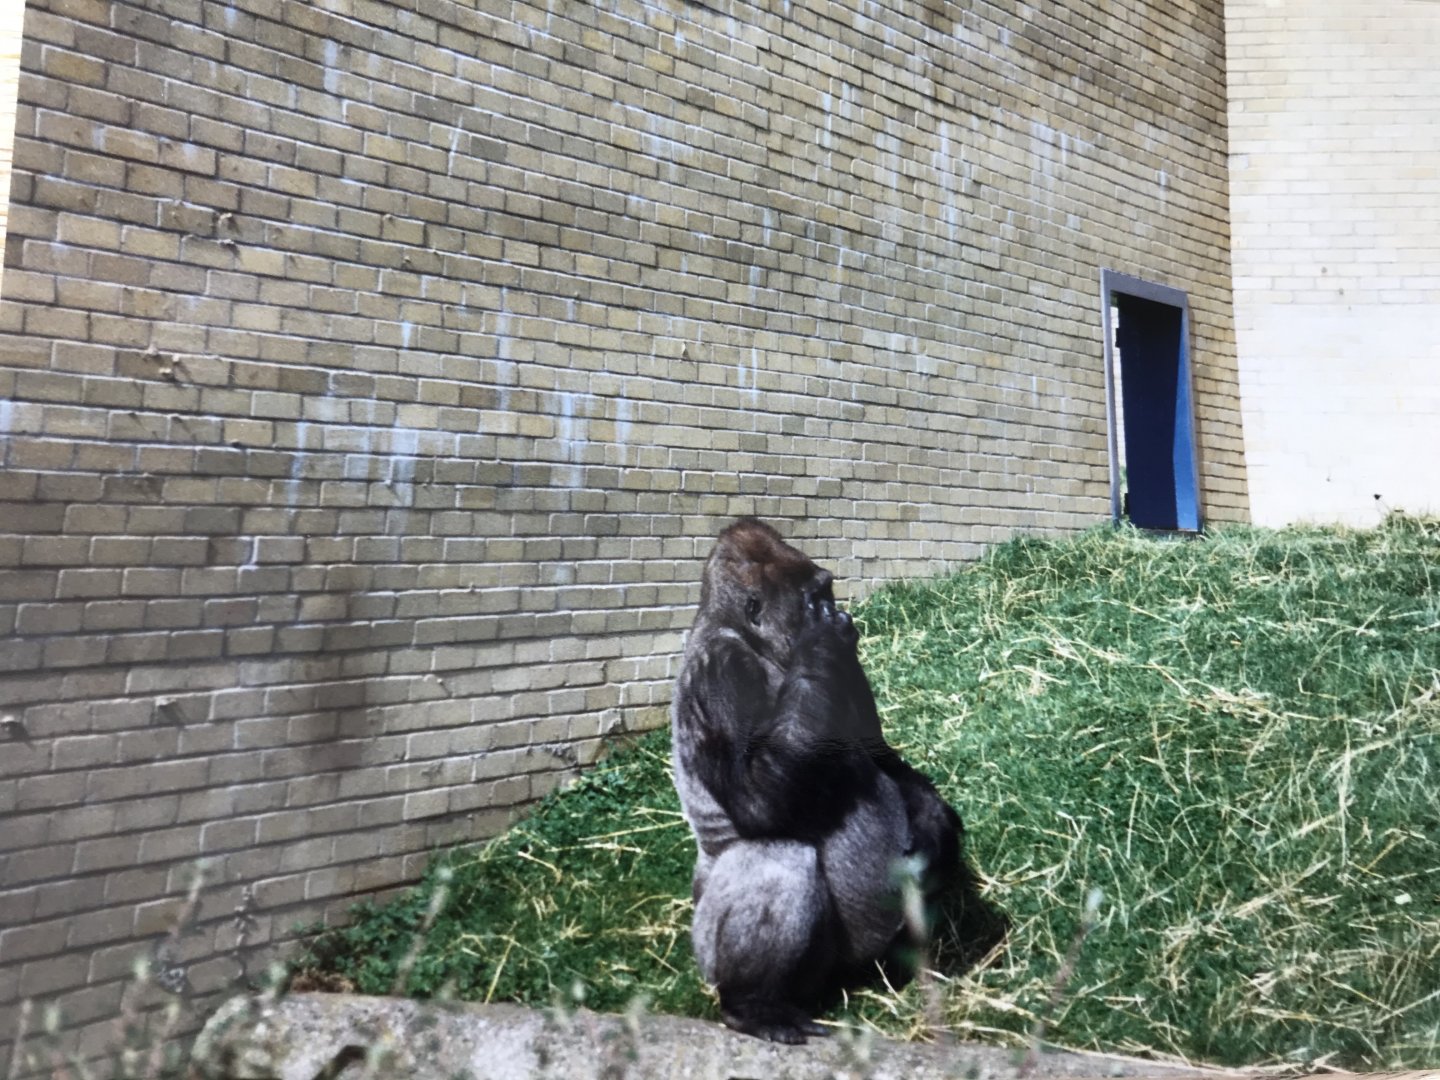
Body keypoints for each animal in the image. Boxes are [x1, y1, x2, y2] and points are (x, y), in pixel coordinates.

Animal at [669, 518, 967, 1043]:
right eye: (817, 596)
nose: (838, 609)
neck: (755, 642)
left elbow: (883, 758)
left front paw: (936, 827)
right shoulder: (721, 669)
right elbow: (758, 800)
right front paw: (819, 637)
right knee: (781, 855)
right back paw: (752, 1006)